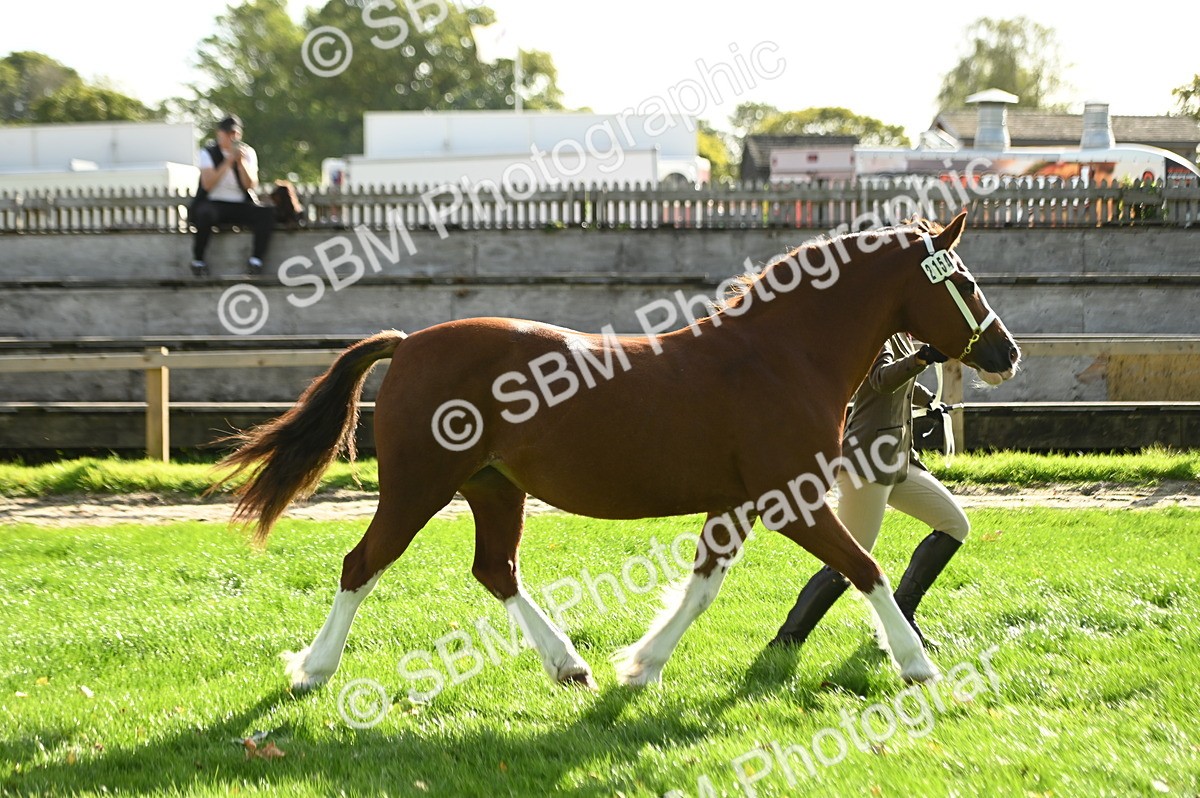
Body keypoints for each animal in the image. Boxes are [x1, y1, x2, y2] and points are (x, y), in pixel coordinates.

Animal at [211, 210, 1020, 692]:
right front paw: (917, 665)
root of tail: (408, 343)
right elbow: (865, 569)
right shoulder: (791, 502)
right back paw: (312, 670)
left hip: (493, 487)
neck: (779, 355)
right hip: (418, 487)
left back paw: (569, 665)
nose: (1006, 353)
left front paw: (640, 665)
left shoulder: (737, 505)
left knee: (495, 570)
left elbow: (703, 585)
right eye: (965, 280)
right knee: (362, 565)